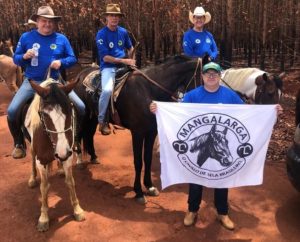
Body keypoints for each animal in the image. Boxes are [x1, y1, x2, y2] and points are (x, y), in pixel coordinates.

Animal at [23, 79, 84, 231]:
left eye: (70, 109)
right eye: (44, 114)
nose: (62, 152)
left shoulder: (68, 156)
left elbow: (70, 182)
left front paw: (77, 210)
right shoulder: (41, 161)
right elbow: (44, 187)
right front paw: (44, 217)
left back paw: (60, 169)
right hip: (32, 147)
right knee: (32, 157)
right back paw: (32, 178)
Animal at [73, 55, 204, 204]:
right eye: (203, 79)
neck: (149, 91)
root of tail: (80, 75)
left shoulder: (152, 132)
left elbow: (147, 159)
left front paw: (150, 186)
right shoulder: (138, 133)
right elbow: (138, 161)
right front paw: (139, 192)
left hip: (94, 117)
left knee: (89, 135)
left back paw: (94, 156)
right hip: (82, 114)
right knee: (79, 134)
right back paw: (79, 161)